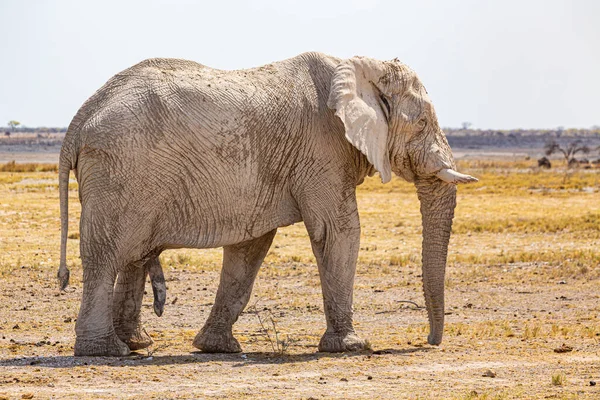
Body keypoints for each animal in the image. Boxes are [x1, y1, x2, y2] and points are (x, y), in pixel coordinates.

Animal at [56, 50, 478, 356]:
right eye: (422, 123)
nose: (430, 341)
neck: (356, 66)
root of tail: (80, 118)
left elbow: (250, 247)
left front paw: (218, 348)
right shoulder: (322, 150)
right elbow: (338, 232)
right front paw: (352, 347)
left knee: (135, 254)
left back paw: (137, 344)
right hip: (120, 167)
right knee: (107, 254)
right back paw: (105, 351)